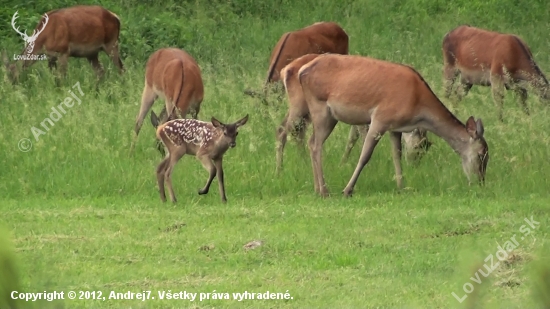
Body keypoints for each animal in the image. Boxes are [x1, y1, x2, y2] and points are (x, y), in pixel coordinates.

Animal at [280, 53, 436, 172]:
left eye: (427, 147)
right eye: (419, 146)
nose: (414, 166)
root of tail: (285, 69)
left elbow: (352, 137)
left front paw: (343, 163)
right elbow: (361, 137)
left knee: (297, 132)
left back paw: (303, 161)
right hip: (300, 105)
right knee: (283, 130)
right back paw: (279, 170)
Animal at [300, 53, 490, 196]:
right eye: (481, 154)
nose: (480, 181)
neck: (417, 105)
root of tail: (302, 71)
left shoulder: (395, 128)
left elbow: (397, 155)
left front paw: (402, 187)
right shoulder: (380, 119)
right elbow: (365, 156)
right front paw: (347, 190)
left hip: (330, 116)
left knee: (311, 141)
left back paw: (317, 189)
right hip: (319, 107)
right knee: (316, 145)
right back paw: (325, 191)